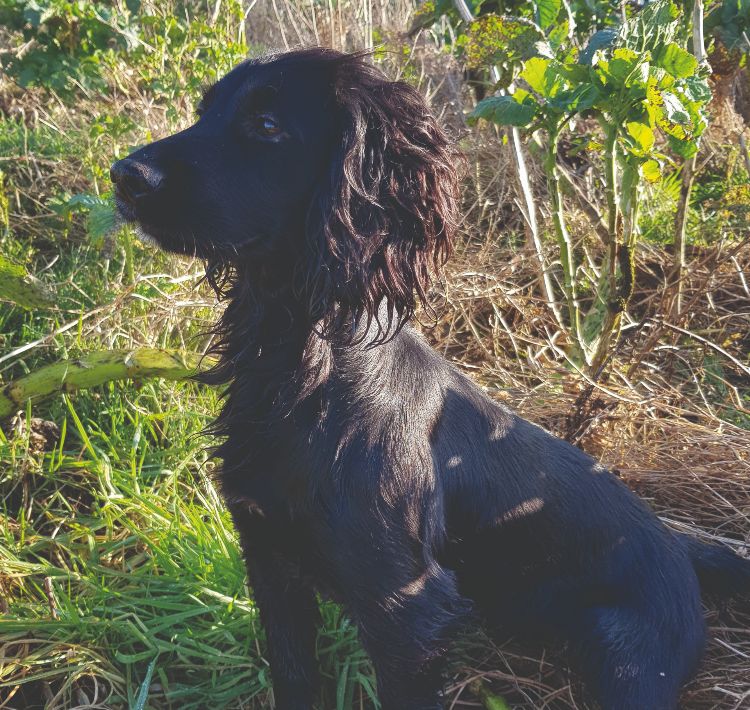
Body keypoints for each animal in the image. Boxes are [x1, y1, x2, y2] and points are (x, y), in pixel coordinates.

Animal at [111, 47, 750, 708]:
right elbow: (293, 675)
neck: (307, 369)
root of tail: (679, 547)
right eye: (205, 110)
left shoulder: (405, 609)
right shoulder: (269, 560)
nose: (123, 175)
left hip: (623, 656)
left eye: (266, 125)